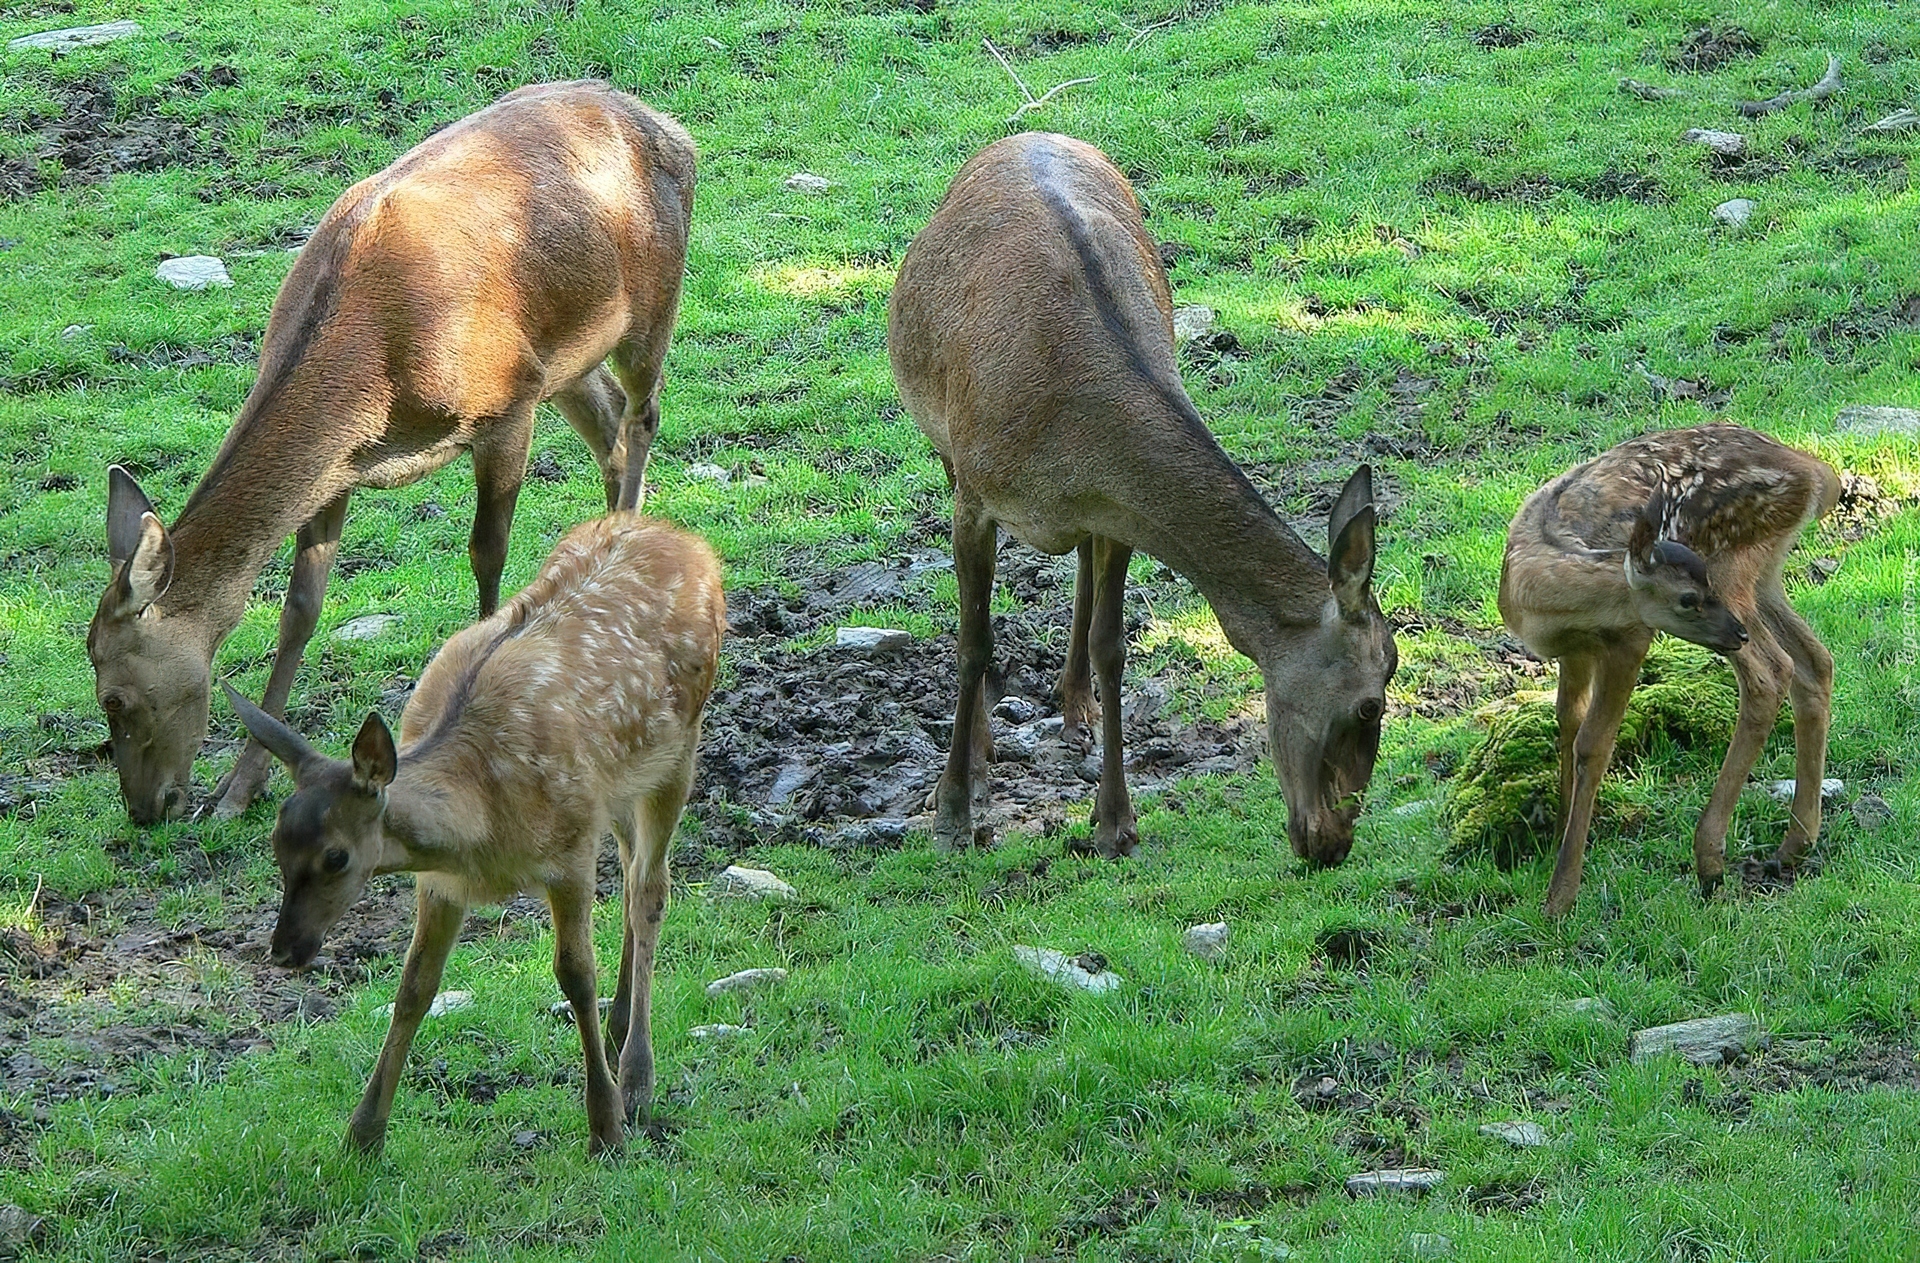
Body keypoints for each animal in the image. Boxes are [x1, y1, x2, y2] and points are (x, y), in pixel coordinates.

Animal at [86, 81, 698, 825]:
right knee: (608, 423)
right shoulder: (338, 469)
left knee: (641, 417)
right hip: (566, 358)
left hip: (650, 303)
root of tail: (666, 124)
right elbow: (299, 609)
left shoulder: (506, 401)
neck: (374, 374)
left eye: (116, 698)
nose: (148, 809)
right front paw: (237, 788)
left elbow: (487, 554)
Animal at [222, 510, 725, 1151]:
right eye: (276, 846)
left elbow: (575, 975)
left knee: (649, 890)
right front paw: (362, 1136)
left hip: (678, 747)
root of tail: (689, 541)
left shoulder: (570, 848)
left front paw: (606, 1126)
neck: (484, 830)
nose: (285, 950)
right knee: (636, 870)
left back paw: (637, 1076)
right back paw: (618, 1034)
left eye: (336, 857)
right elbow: (414, 987)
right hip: (619, 783)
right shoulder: (441, 881)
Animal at [883, 132, 1397, 859]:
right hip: (946, 443)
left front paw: (1114, 822)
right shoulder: (975, 495)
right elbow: (973, 640)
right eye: (1369, 704)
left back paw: (1076, 709)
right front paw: (955, 807)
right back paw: (986, 752)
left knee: (1080, 575)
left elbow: (1113, 646)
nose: (1332, 843)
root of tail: (1030, 133)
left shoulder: (1120, 509)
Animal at [1489, 422, 1835, 913]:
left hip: (1735, 565)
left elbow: (1593, 744)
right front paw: (1559, 837)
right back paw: (1793, 845)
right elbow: (1567, 722)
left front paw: (1561, 895)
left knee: (1771, 674)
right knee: (1815, 662)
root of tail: (1817, 474)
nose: (1734, 631)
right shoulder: (1575, 650)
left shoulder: (1628, 637)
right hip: (1763, 574)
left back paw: (1710, 860)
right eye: (1688, 598)